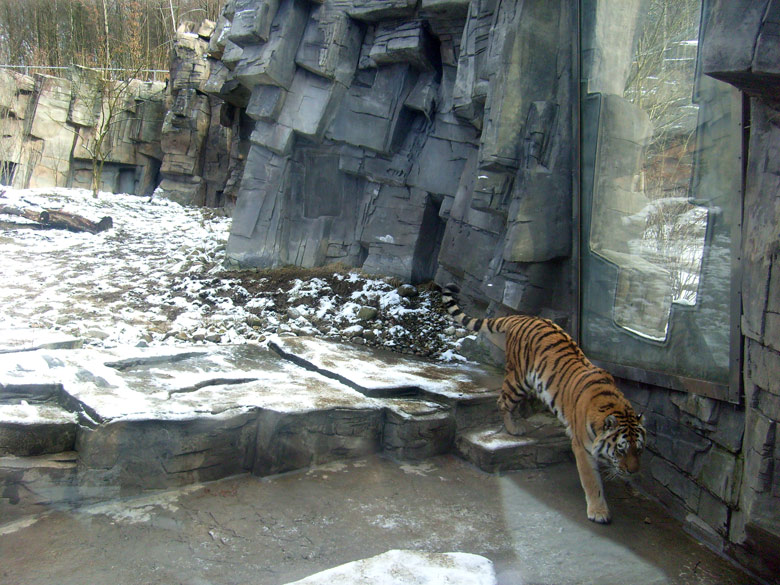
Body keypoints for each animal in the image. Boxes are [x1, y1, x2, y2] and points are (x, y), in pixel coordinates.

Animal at [438, 282, 644, 524]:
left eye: (639, 450)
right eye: (621, 450)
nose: (633, 472)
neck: (615, 406)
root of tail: (522, 317)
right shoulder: (582, 446)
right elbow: (591, 481)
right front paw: (599, 511)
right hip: (519, 379)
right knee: (502, 401)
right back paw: (513, 427)